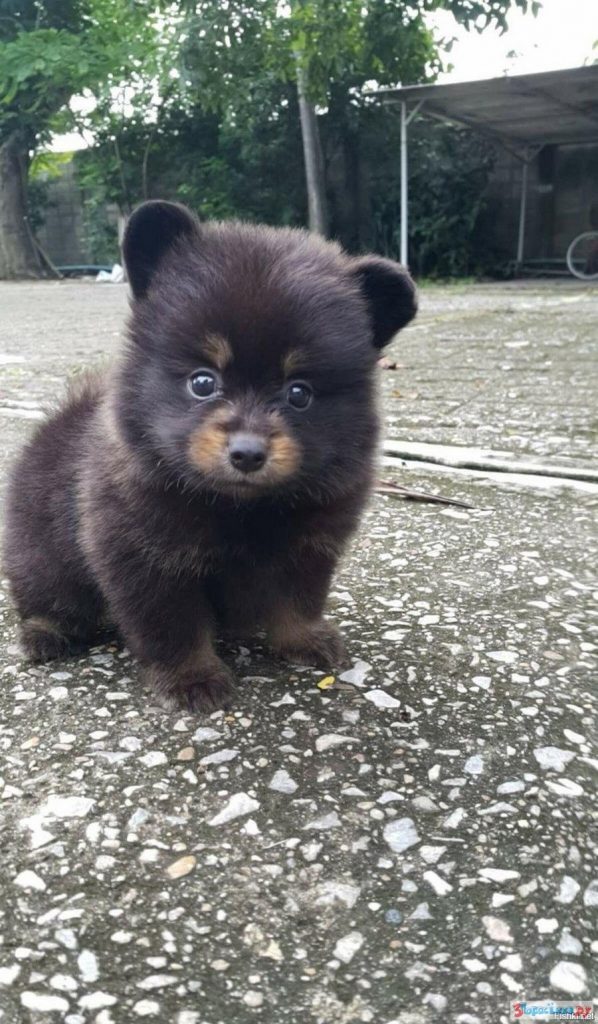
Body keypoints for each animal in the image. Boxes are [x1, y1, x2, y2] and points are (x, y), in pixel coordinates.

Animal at [3, 199, 415, 712]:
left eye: (299, 393)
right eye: (203, 382)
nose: (247, 453)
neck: (241, 507)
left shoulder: (309, 547)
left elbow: (298, 601)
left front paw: (305, 640)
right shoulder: (146, 559)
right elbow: (173, 627)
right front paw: (191, 678)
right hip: (41, 555)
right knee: (48, 598)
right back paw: (45, 634)